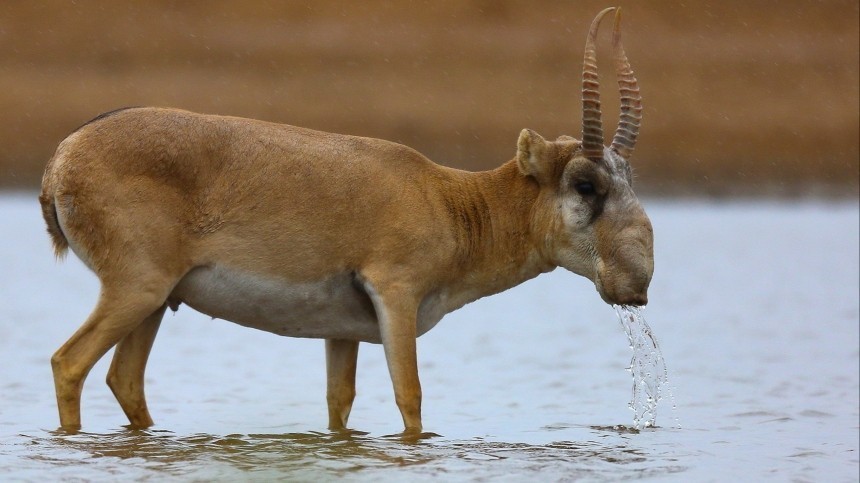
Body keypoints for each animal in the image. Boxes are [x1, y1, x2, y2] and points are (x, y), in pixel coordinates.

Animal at [37, 7, 648, 436]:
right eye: (585, 184)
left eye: (628, 176)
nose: (638, 283)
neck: (449, 199)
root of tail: (64, 154)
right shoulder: (396, 298)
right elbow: (410, 397)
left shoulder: (341, 334)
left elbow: (339, 406)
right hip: (137, 291)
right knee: (69, 363)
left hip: (158, 301)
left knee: (124, 379)